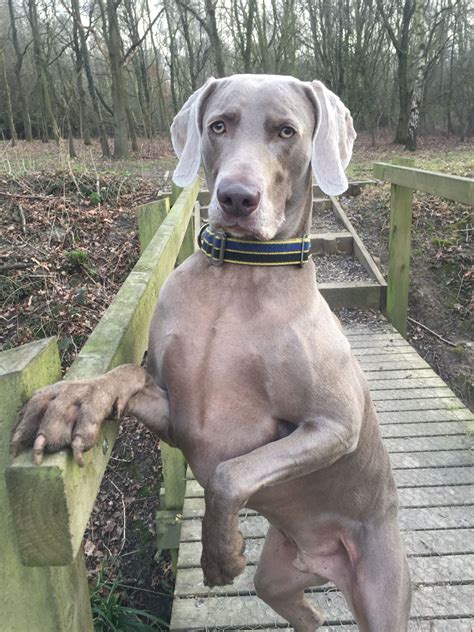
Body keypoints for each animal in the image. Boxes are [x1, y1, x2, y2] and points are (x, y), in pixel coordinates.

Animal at [11, 75, 412, 632]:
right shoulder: (181, 416)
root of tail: (322, 560)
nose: (236, 198)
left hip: (382, 586)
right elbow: (126, 374)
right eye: (218, 125)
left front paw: (220, 557)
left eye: (286, 131)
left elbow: (228, 474)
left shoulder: (335, 425)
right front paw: (74, 402)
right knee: (306, 614)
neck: (238, 278)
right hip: (278, 579)